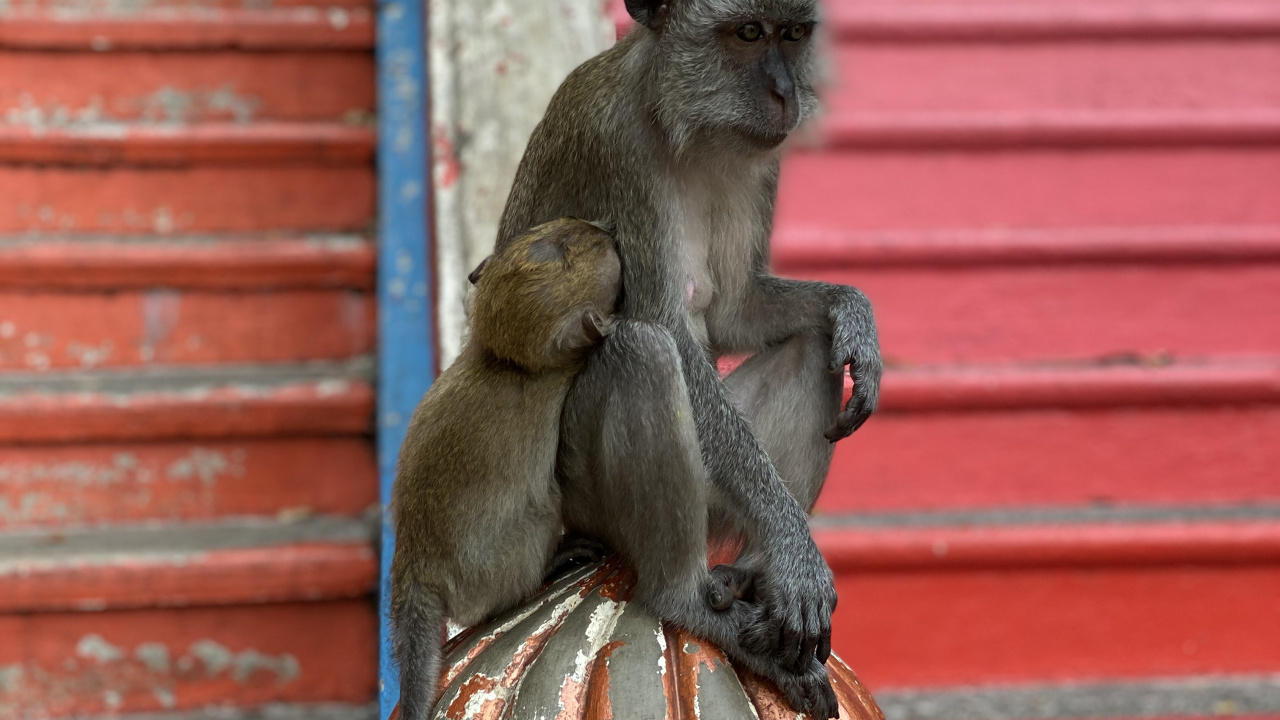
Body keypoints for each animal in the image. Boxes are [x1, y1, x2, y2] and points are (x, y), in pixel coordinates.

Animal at [389, 218, 621, 720]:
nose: (606, 231)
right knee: (540, 514)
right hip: (501, 561)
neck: (508, 361)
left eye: (563, 232)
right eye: (575, 246)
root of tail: (415, 566)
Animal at [494, 1, 883, 716]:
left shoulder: (759, 163)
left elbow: (733, 312)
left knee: (813, 348)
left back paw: (747, 575)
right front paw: (795, 552)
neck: (683, 125)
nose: (784, 93)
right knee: (642, 352)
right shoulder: (615, 148)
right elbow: (668, 331)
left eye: (792, 35)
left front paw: (854, 313)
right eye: (748, 34)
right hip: (585, 499)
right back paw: (685, 597)